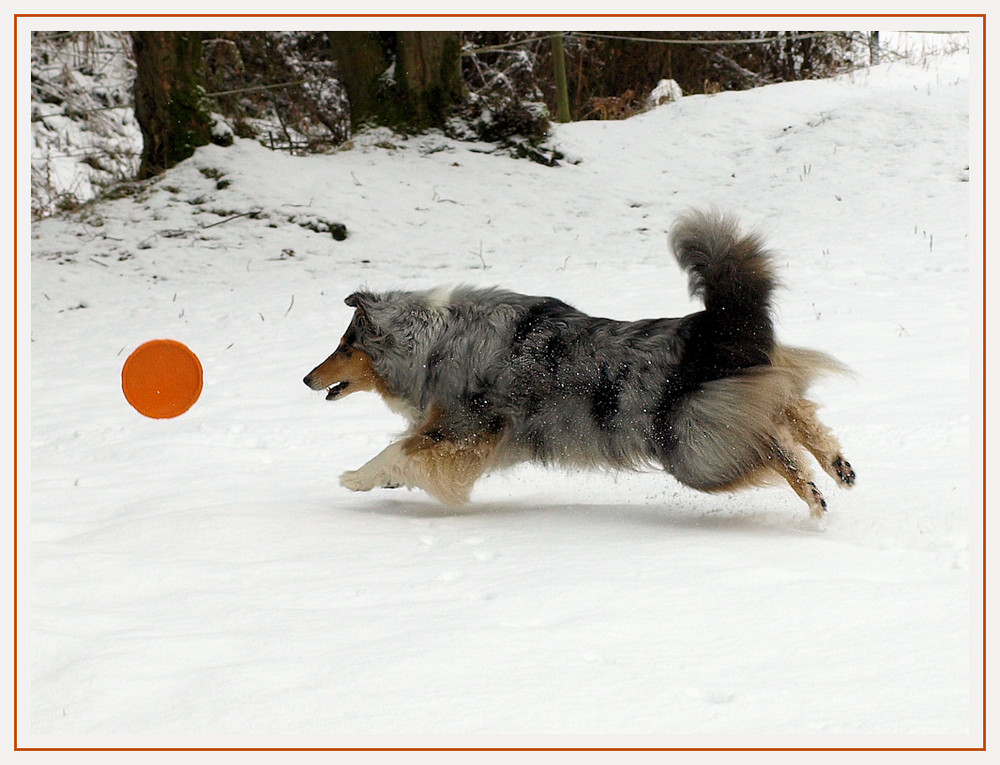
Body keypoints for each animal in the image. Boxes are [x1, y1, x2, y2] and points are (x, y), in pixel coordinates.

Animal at [302, 212, 852, 516]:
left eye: (345, 345)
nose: (306, 378)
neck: (432, 339)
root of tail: (711, 328)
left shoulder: (465, 426)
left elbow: (399, 449)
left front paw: (356, 478)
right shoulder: (481, 440)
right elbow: (409, 454)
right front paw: (384, 480)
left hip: (694, 449)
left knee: (773, 445)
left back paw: (814, 496)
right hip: (742, 393)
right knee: (791, 406)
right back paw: (837, 466)